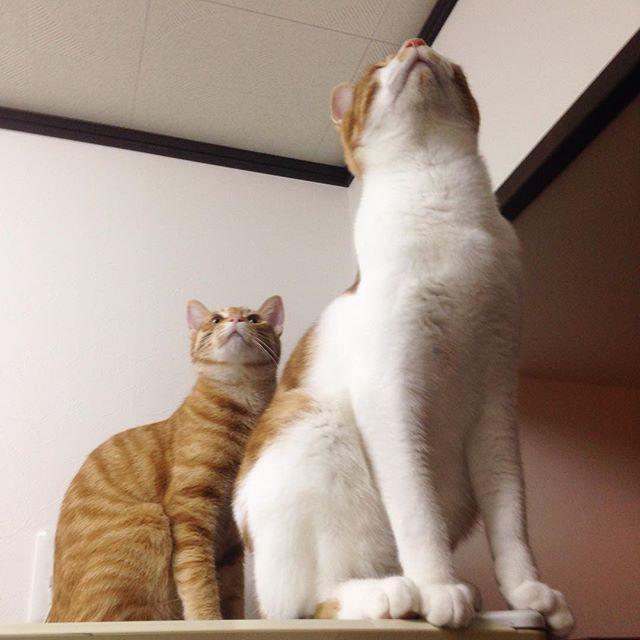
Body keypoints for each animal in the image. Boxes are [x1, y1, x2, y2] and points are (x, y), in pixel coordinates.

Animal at [49, 296, 284, 622]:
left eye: (254, 319)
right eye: (215, 319)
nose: (235, 321)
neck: (244, 404)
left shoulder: (230, 543)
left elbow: (232, 590)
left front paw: (235, 622)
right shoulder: (189, 510)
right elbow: (198, 577)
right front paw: (207, 620)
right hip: (149, 519)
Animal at [234, 39, 573, 636]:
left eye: (450, 64)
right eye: (377, 69)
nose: (415, 44)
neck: (441, 198)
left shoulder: (497, 404)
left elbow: (511, 520)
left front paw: (529, 593)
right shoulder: (390, 392)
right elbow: (418, 512)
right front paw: (438, 587)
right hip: (310, 422)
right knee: (306, 602)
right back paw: (394, 593)